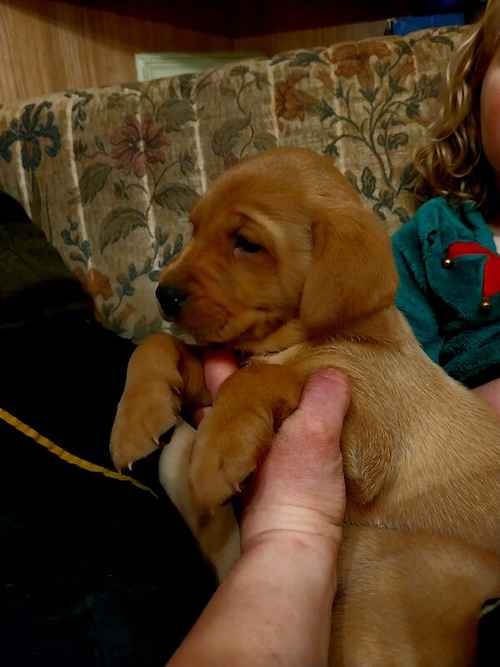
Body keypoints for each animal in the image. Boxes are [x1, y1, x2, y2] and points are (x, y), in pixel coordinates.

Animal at [111, 149, 500, 664]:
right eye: (194, 229)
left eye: (246, 243)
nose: (164, 294)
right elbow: (155, 346)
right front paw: (134, 421)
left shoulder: (372, 432)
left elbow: (264, 377)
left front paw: (217, 451)